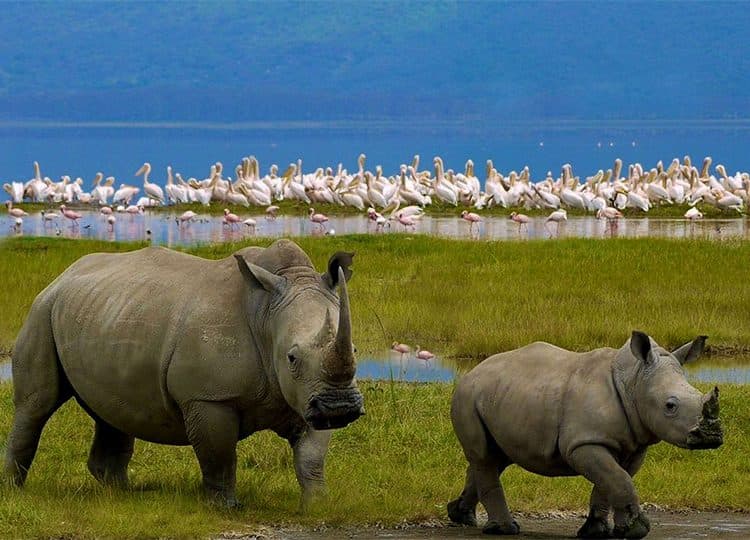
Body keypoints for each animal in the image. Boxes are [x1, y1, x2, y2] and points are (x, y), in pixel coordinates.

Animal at [5, 239, 364, 508]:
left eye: (355, 350)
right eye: (291, 357)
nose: (340, 408)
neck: (265, 315)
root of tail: (64, 274)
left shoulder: (308, 395)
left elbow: (311, 456)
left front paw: (317, 505)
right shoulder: (209, 398)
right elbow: (219, 457)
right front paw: (226, 507)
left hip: (104, 311)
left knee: (112, 410)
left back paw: (124, 494)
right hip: (42, 311)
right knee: (36, 406)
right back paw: (15, 490)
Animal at [448, 331, 722, 538]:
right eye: (670, 406)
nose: (712, 437)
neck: (633, 382)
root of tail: (471, 372)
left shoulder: (632, 445)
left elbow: (611, 481)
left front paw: (599, 531)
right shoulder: (583, 443)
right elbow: (619, 480)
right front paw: (636, 530)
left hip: (500, 397)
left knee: (495, 457)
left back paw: (461, 516)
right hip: (467, 396)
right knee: (484, 457)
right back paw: (505, 529)